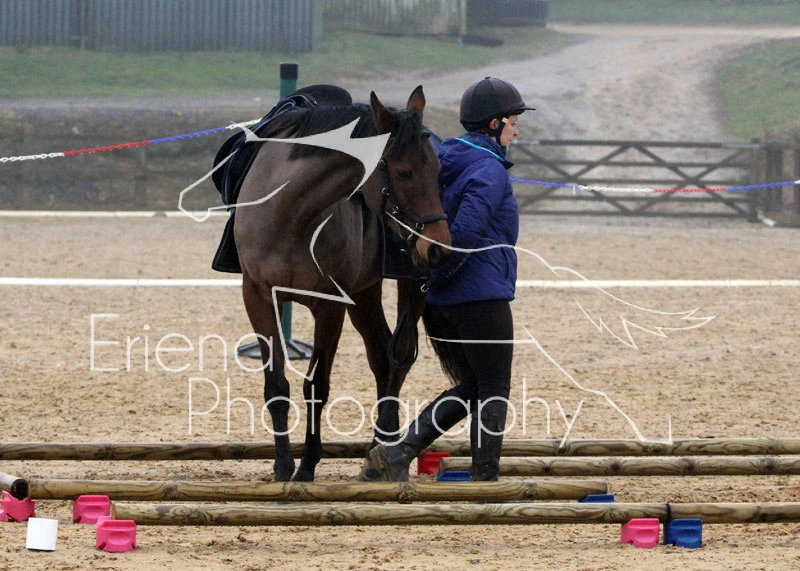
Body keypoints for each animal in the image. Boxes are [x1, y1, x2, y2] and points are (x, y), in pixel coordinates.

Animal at [234, 86, 451, 481]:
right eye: (403, 172)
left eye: (439, 170)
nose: (438, 247)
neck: (291, 211)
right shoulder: (258, 295)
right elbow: (276, 385)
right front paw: (283, 467)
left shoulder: (330, 306)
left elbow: (317, 385)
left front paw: (307, 466)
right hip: (364, 294)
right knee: (381, 355)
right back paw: (380, 445)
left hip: (409, 286)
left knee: (398, 358)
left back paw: (387, 447)